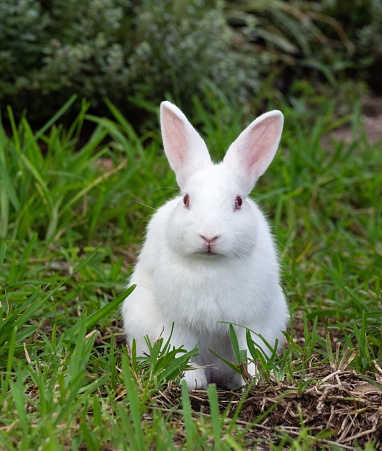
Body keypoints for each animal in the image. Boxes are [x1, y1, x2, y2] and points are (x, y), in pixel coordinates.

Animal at [124, 100, 288, 390]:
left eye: (238, 202)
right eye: (186, 200)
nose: (209, 236)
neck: (211, 264)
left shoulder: (251, 321)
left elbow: (250, 349)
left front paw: (255, 380)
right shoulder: (177, 322)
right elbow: (182, 349)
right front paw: (192, 381)